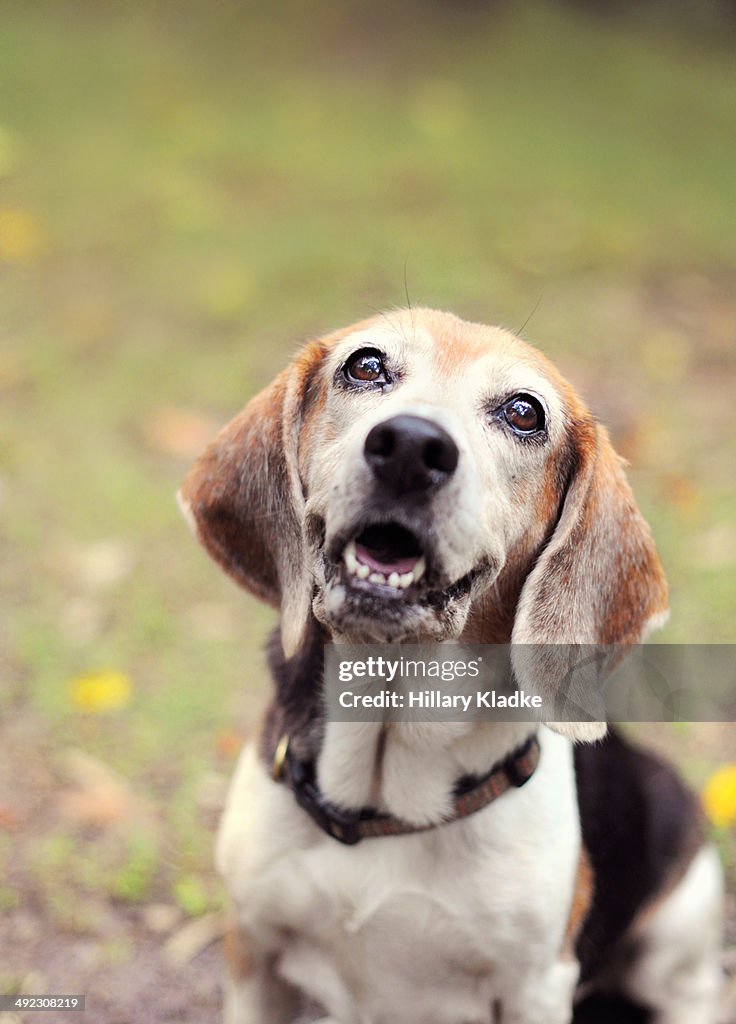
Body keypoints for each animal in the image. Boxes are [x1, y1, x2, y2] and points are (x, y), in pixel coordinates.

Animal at [180, 309, 724, 1024]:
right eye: (365, 365)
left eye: (524, 412)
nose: (412, 445)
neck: (383, 801)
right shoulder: (253, 954)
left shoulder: (535, 987)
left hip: (680, 936)